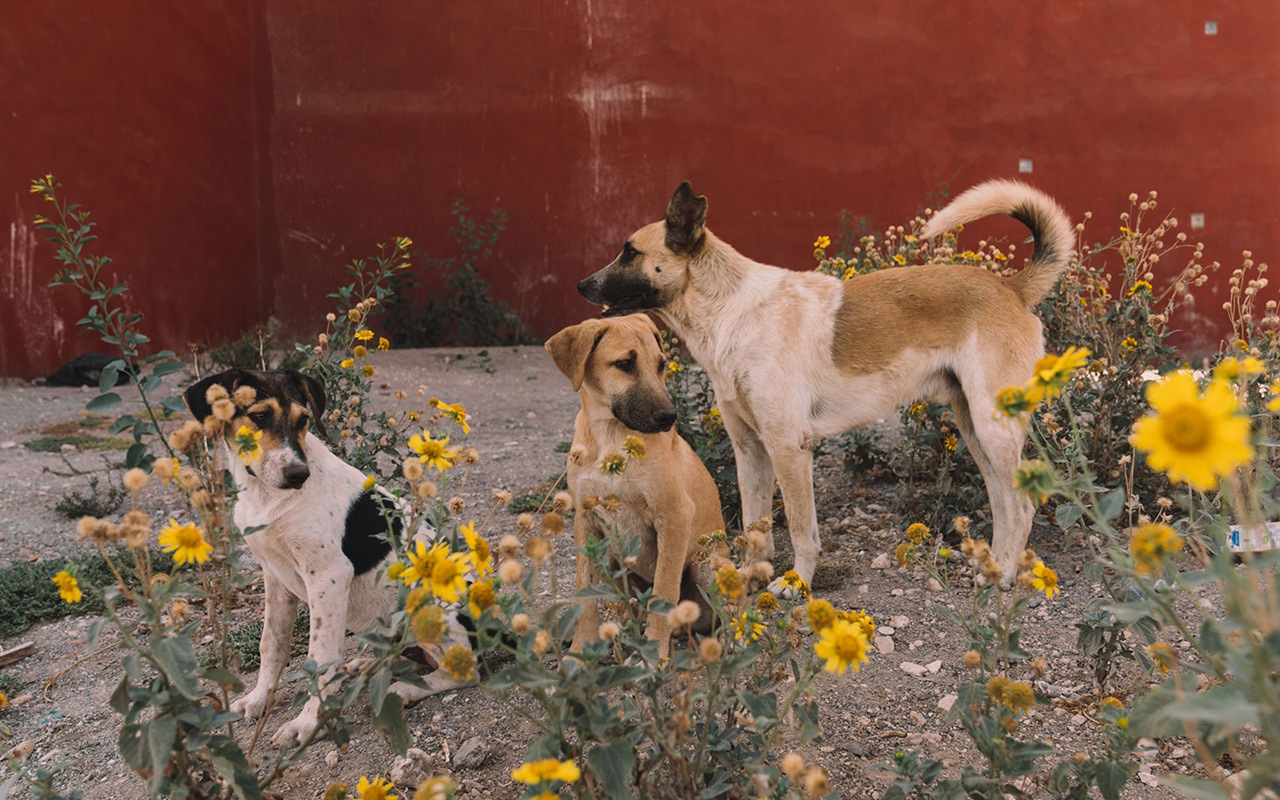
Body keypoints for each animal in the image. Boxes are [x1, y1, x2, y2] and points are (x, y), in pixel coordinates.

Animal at [185, 371, 471, 747]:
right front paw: (259, 699)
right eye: (259, 416)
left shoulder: (328, 576)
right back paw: (368, 666)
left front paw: (307, 723)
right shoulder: (274, 575)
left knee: (463, 670)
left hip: (430, 611)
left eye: (303, 420)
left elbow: (320, 657)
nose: (298, 474)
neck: (266, 494)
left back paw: (406, 689)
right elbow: (271, 644)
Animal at [545, 312, 727, 655]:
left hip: (707, 564)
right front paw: (580, 650)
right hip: (613, 561)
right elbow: (583, 593)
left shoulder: (674, 517)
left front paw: (654, 654)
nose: (669, 418)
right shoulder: (585, 520)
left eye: (661, 364)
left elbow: (664, 590)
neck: (610, 438)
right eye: (625, 364)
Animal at [578, 180, 1070, 586]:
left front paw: (796, 583)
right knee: (1003, 503)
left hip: (992, 428)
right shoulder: (750, 450)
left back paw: (1006, 577)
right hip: (975, 429)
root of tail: (1011, 288)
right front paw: (747, 582)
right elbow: (755, 527)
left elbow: (800, 529)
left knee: (1022, 506)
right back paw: (994, 569)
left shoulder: (788, 447)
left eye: (630, 252)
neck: (733, 312)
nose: (583, 285)